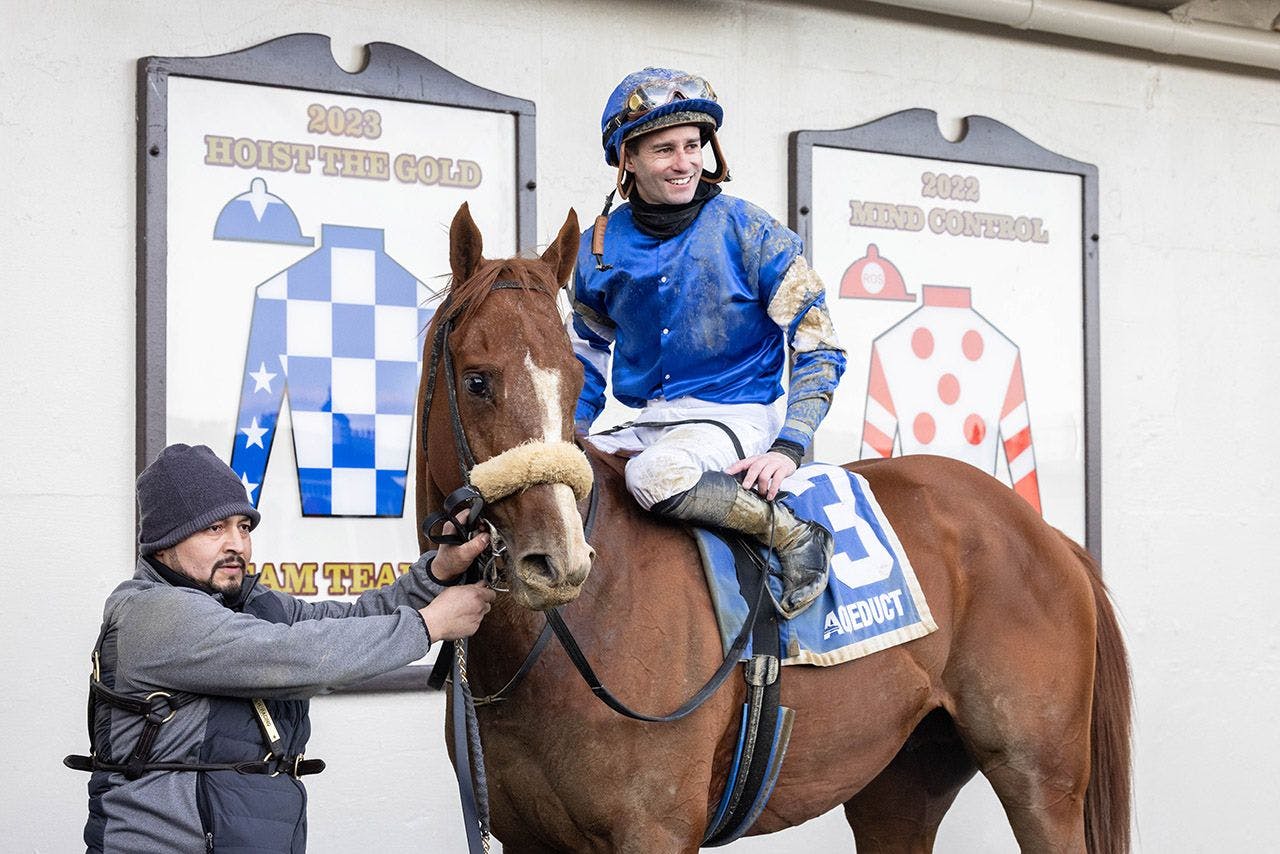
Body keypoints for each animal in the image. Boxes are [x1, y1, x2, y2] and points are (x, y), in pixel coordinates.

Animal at [412, 203, 1131, 850]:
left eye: (567, 381)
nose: (559, 562)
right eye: (477, 381)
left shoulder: (655, 829)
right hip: (900, 782)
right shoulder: (524, 838)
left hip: (1040, 778)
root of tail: (1047, 534)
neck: (562, 639)